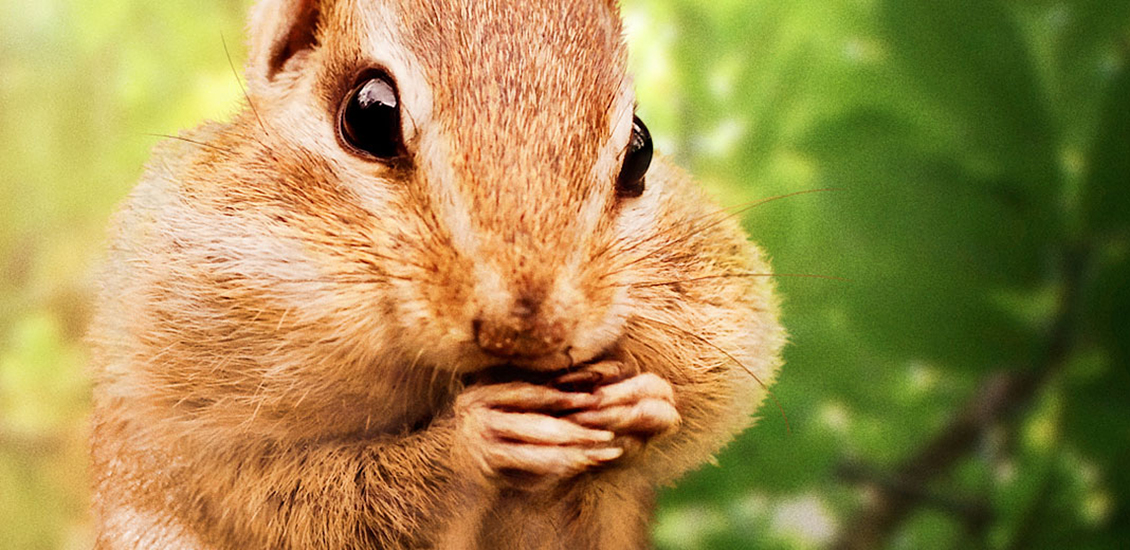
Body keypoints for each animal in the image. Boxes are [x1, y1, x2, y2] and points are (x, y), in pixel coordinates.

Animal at [88, 0, 785, 548]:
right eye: (369, 114)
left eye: (640, 148)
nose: (526, 328)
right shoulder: (198, 440)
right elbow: (300, 499)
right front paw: (475, 439)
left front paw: (642, 403)